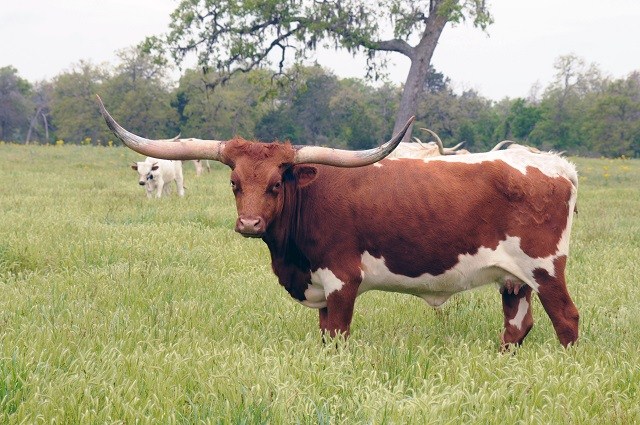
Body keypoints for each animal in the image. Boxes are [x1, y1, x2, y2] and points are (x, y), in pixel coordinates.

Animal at [98, 95, 579, 349]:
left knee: (567, 318)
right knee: (517, 324)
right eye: (234, 183)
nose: (249, 223)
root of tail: (556, 164)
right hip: (513, 278)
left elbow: (337, 338)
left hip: (544, 267)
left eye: (276, 183)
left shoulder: (342, 281)